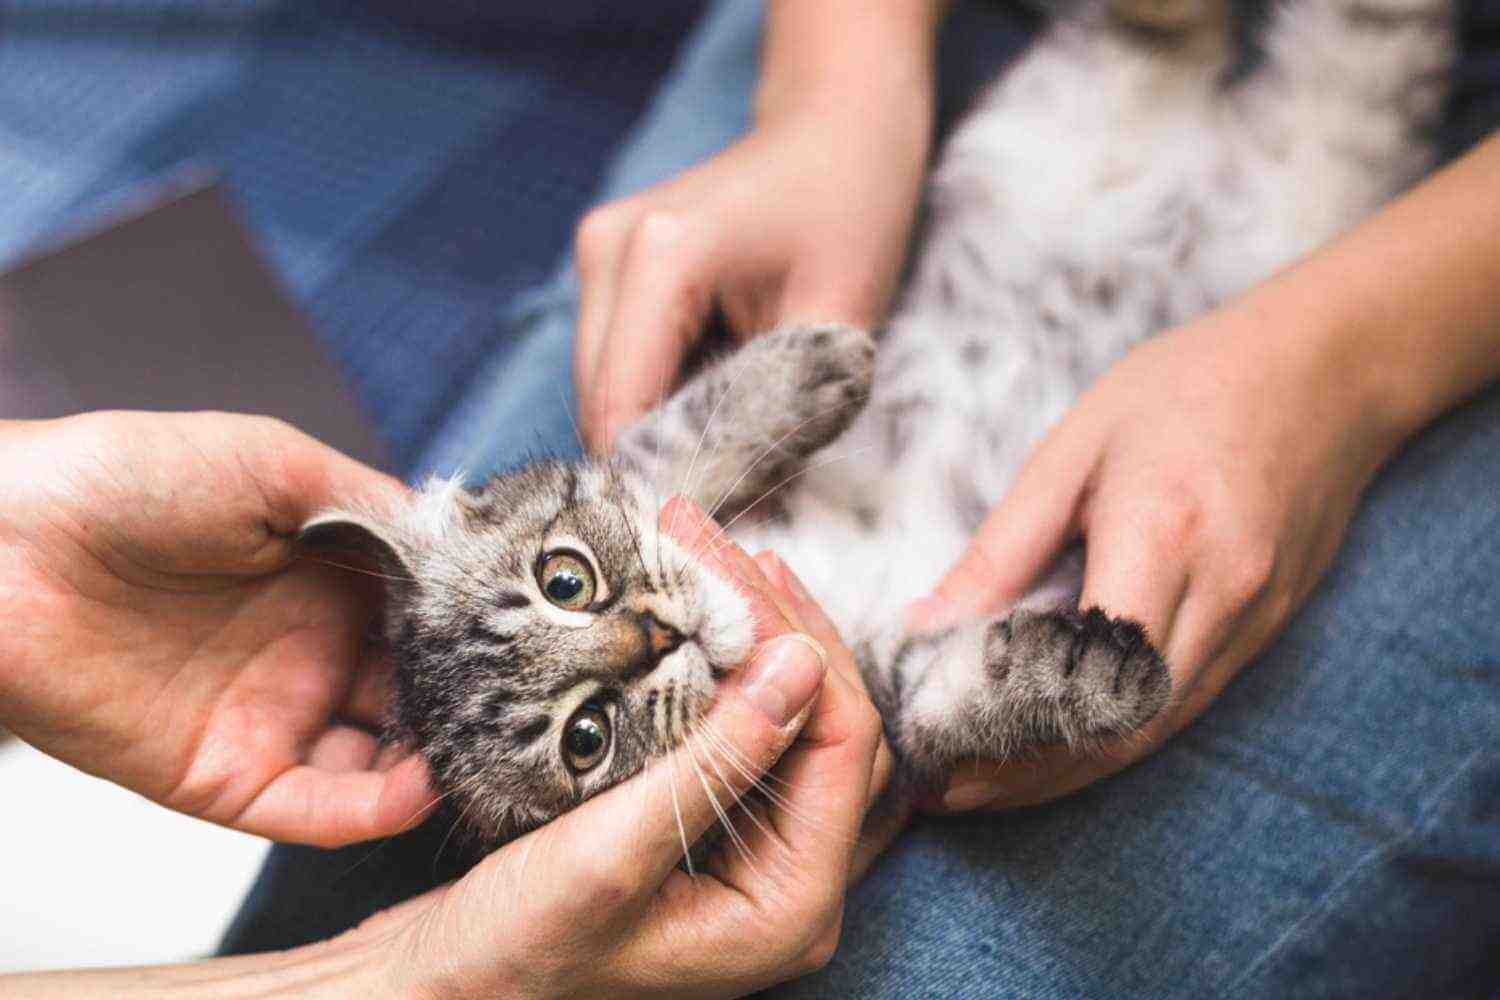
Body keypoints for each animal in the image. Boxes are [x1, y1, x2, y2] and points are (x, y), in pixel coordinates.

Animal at [301, 0, 1452, 851]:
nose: (657, 637)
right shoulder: (894, 685)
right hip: (1324, 131)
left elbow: (680, 441)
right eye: (587, 737)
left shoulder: (661, 468)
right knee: (1347, 46)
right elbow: (964, 697)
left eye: (567, 579)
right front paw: (1092, 674)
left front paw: (812, 364)